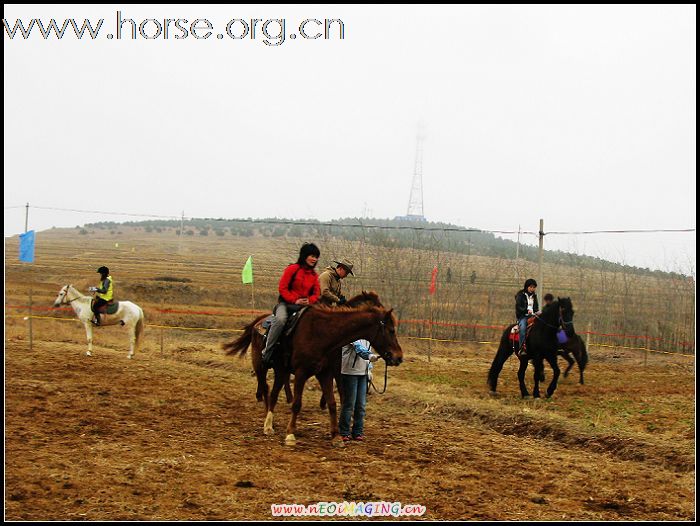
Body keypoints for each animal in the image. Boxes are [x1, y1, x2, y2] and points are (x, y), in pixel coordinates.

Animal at [221, 294, 402, 448]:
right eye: (391, 330)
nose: (398, 357)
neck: (323, 333)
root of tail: (259, 322)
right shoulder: (302, 373)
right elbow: (297, 404)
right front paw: (290, 435)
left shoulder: (326, 373)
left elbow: (333, 402)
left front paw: (336, 436)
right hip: (260, 365)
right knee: (265, 388)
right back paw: (267, 424)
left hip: (281, 370)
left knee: (274, 392)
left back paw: (270, 421)